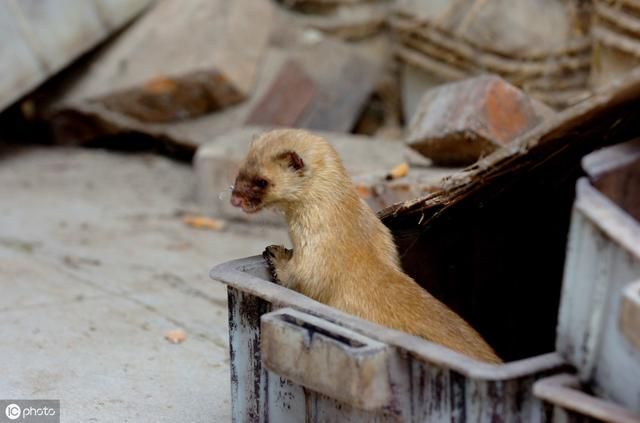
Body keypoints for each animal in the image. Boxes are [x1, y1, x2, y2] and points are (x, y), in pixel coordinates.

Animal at [229, 129, 500, 364]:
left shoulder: (319, 254)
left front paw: (276, 254)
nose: (235, 198)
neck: (352, 229)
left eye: (262, 181)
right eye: (240, 169)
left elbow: (302, 277)